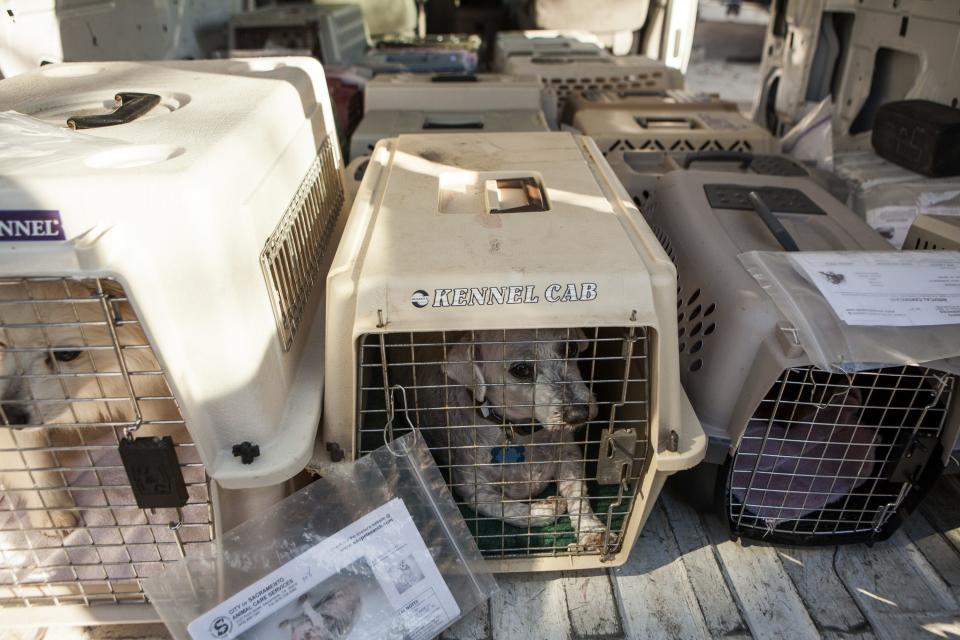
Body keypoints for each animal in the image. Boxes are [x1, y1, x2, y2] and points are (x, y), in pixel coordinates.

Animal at [402, 330, 612, 544]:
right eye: (521, 369)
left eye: (571, 348)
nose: (578, 414)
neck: (522, 432)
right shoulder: (474, 489)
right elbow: (507, 509)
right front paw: (545, 509)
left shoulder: (570, 456)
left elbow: (578, 494)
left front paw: (592, 530)